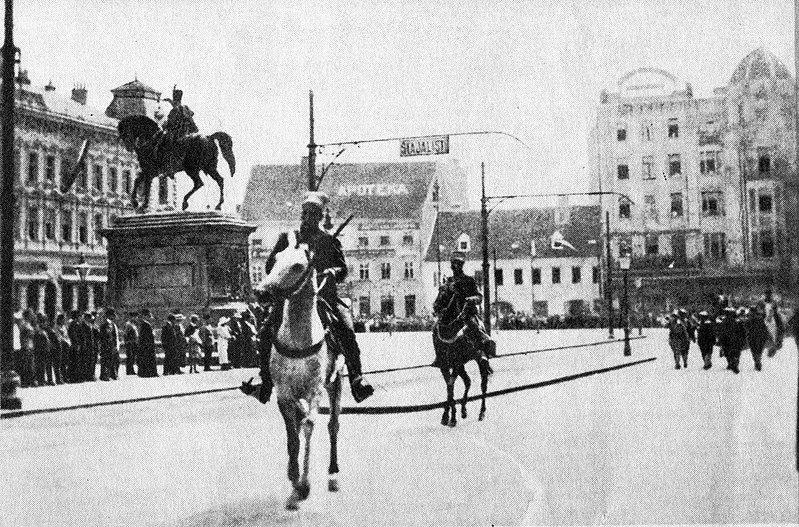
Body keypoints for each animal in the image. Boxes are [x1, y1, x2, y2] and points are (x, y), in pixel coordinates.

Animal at [258, 232, 342, 512]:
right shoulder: (284, 394)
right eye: (274, 260)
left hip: (335, 384)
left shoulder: (315, 390)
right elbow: (292, 435)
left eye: (297, 266)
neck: (298, 337)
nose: (261, 293)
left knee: (332, 425)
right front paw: (294, 481)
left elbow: (308, 427)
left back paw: (333, 474)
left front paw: (304, 484)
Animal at [434, 286, 490, 426]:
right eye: (439, 290)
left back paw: (482, 412)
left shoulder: (456, 363)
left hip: (479, 361)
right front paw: (447, 415)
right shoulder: (444, 365)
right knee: (468, 381)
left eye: (446, 293)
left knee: (483, 384)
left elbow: (450, 384)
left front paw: (451, 417)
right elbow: (449, 386)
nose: (435, 307)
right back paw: (463, 410)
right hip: (461, 365)